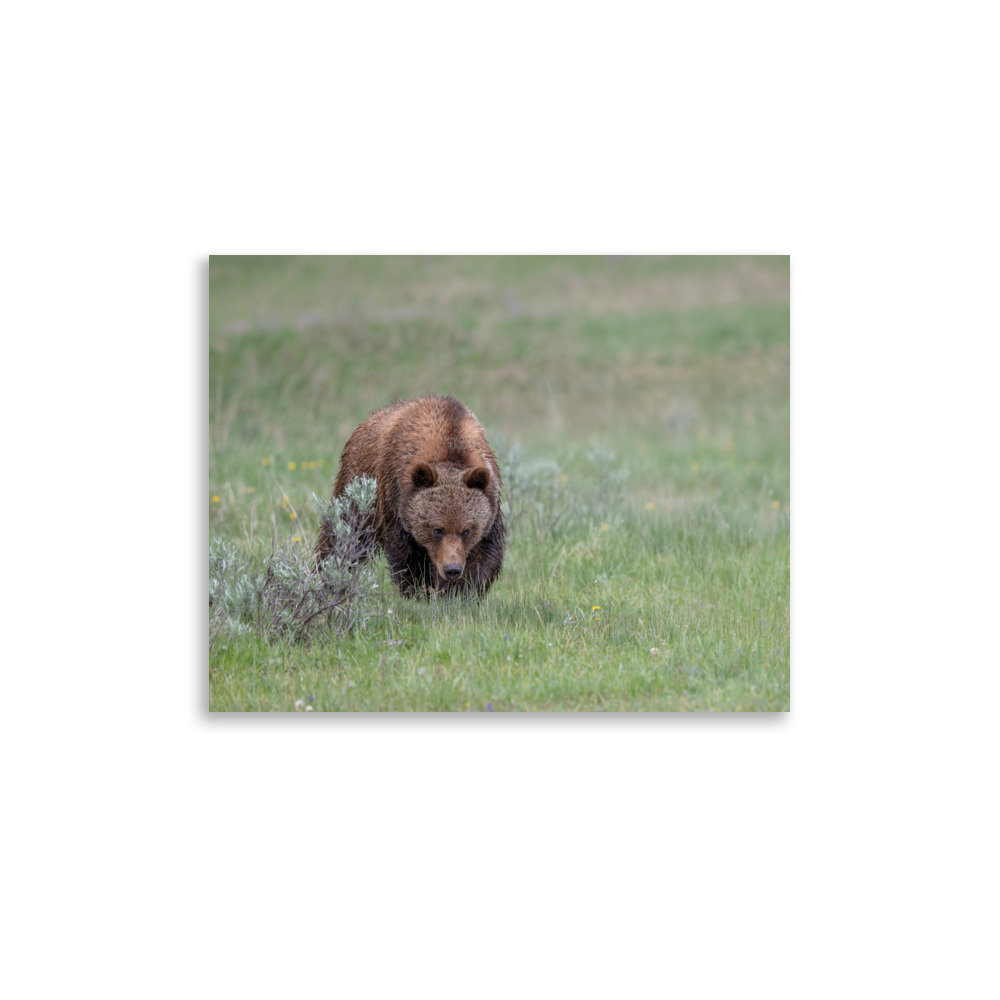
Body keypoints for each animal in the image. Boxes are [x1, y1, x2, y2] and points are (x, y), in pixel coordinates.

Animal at [316, 396, 505, 598]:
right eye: (437, 530)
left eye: (466, 531)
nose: (452, 569)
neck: (451, 446)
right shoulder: (396, 498)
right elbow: (406, 554)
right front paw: (419, 591)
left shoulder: (490, 503)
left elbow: (485, 553)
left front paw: (459, 593)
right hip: (359, 485)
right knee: (344, 534)